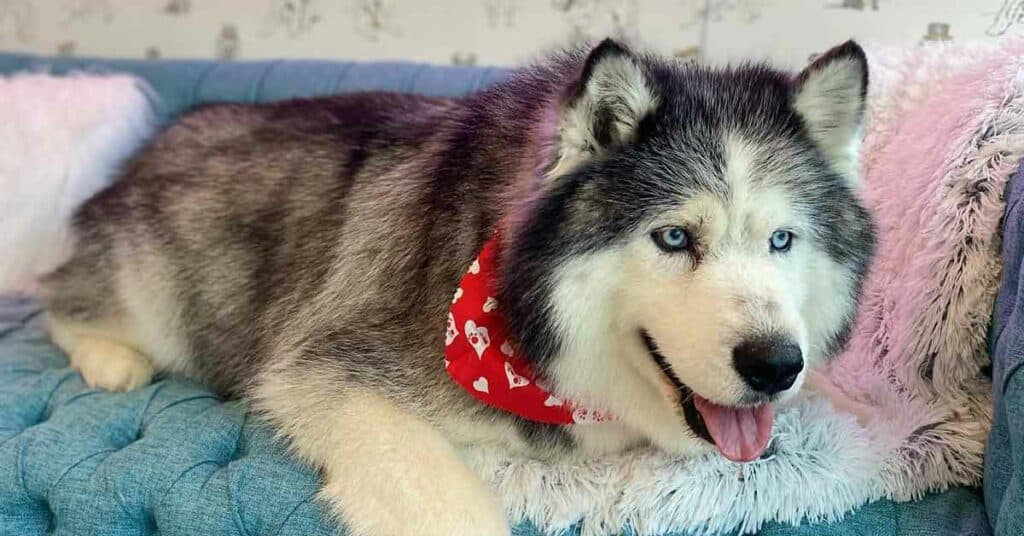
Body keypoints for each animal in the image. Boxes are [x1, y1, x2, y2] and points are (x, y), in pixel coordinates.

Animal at [37, 38, 872, 536]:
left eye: (782, 240)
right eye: (673, 238)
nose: (776, 366)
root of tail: (161, 137)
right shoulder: (323, 364)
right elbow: (434, 490)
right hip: (154, 285)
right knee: (57, 294)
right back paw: (109, 356)